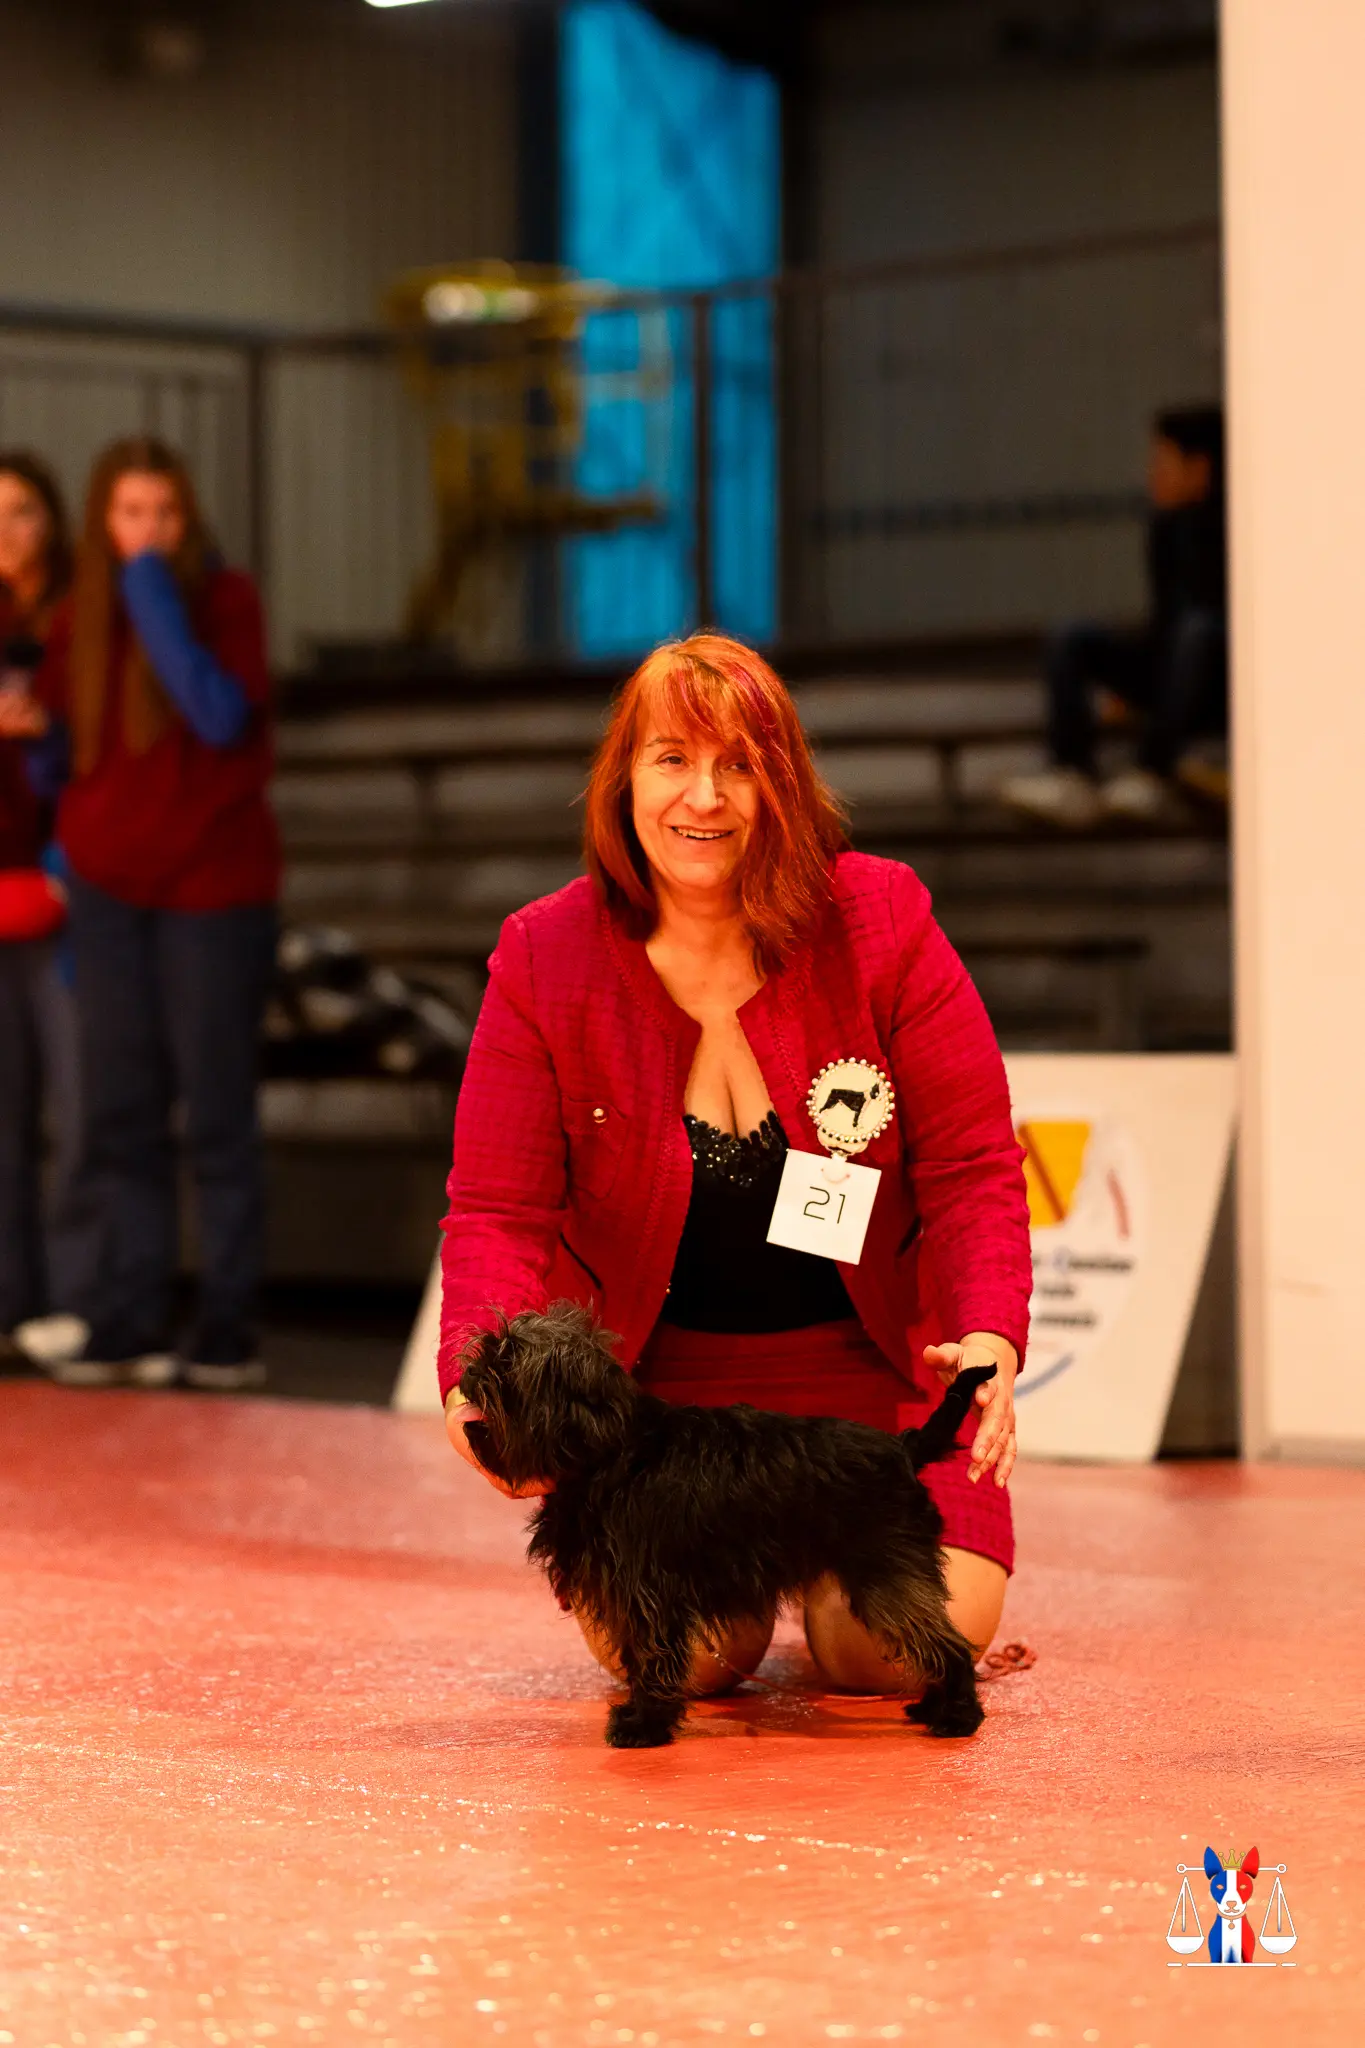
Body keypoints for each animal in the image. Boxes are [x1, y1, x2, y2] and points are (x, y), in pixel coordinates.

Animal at [457, 1303, 995, 1749]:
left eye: (507, 1363)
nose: (470, 1369)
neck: (613, 1446)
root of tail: (904, 1447)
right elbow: (639, 1658)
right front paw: (642, 1716)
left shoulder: (648, 1593)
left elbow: (652, 1658)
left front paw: (645, 1726)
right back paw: (932, 1706)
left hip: (886, 1579)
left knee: (948, 1646)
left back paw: (958, 1717)